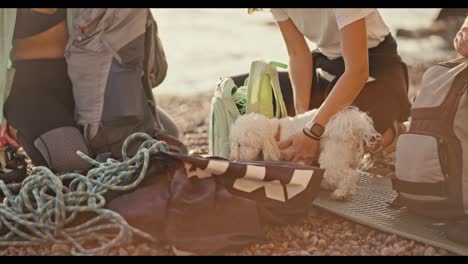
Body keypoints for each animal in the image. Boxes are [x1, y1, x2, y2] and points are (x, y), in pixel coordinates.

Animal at [229, 107, 380, 200]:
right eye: (235, 143)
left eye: (242, 144)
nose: (234, 157)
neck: (275, 134)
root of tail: (350, 126)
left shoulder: (299, 158)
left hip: (331, 157)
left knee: (349, 175)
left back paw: (341, 193)